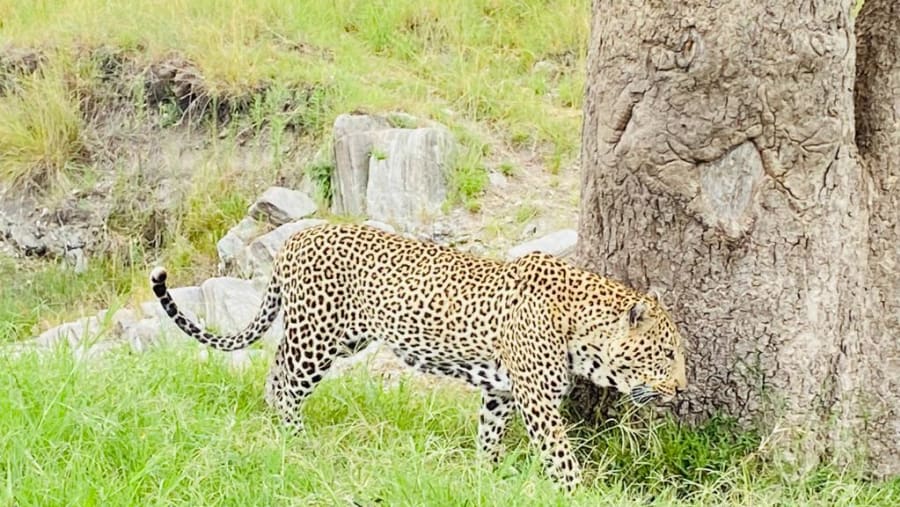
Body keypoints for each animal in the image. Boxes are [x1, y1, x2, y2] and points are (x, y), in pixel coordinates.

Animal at [150, 223, 687, 491]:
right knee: (284, 384)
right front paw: (575, 495)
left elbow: (488, 438)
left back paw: (277, 433)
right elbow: (562, 459)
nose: (684, 389)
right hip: (318, 338)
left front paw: (485, 479)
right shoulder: (536, 401)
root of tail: (295, 238)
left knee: (273, 373)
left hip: (331, 336)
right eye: (665, 354)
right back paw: (297, 442)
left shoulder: (499, 392)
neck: (581, 328)